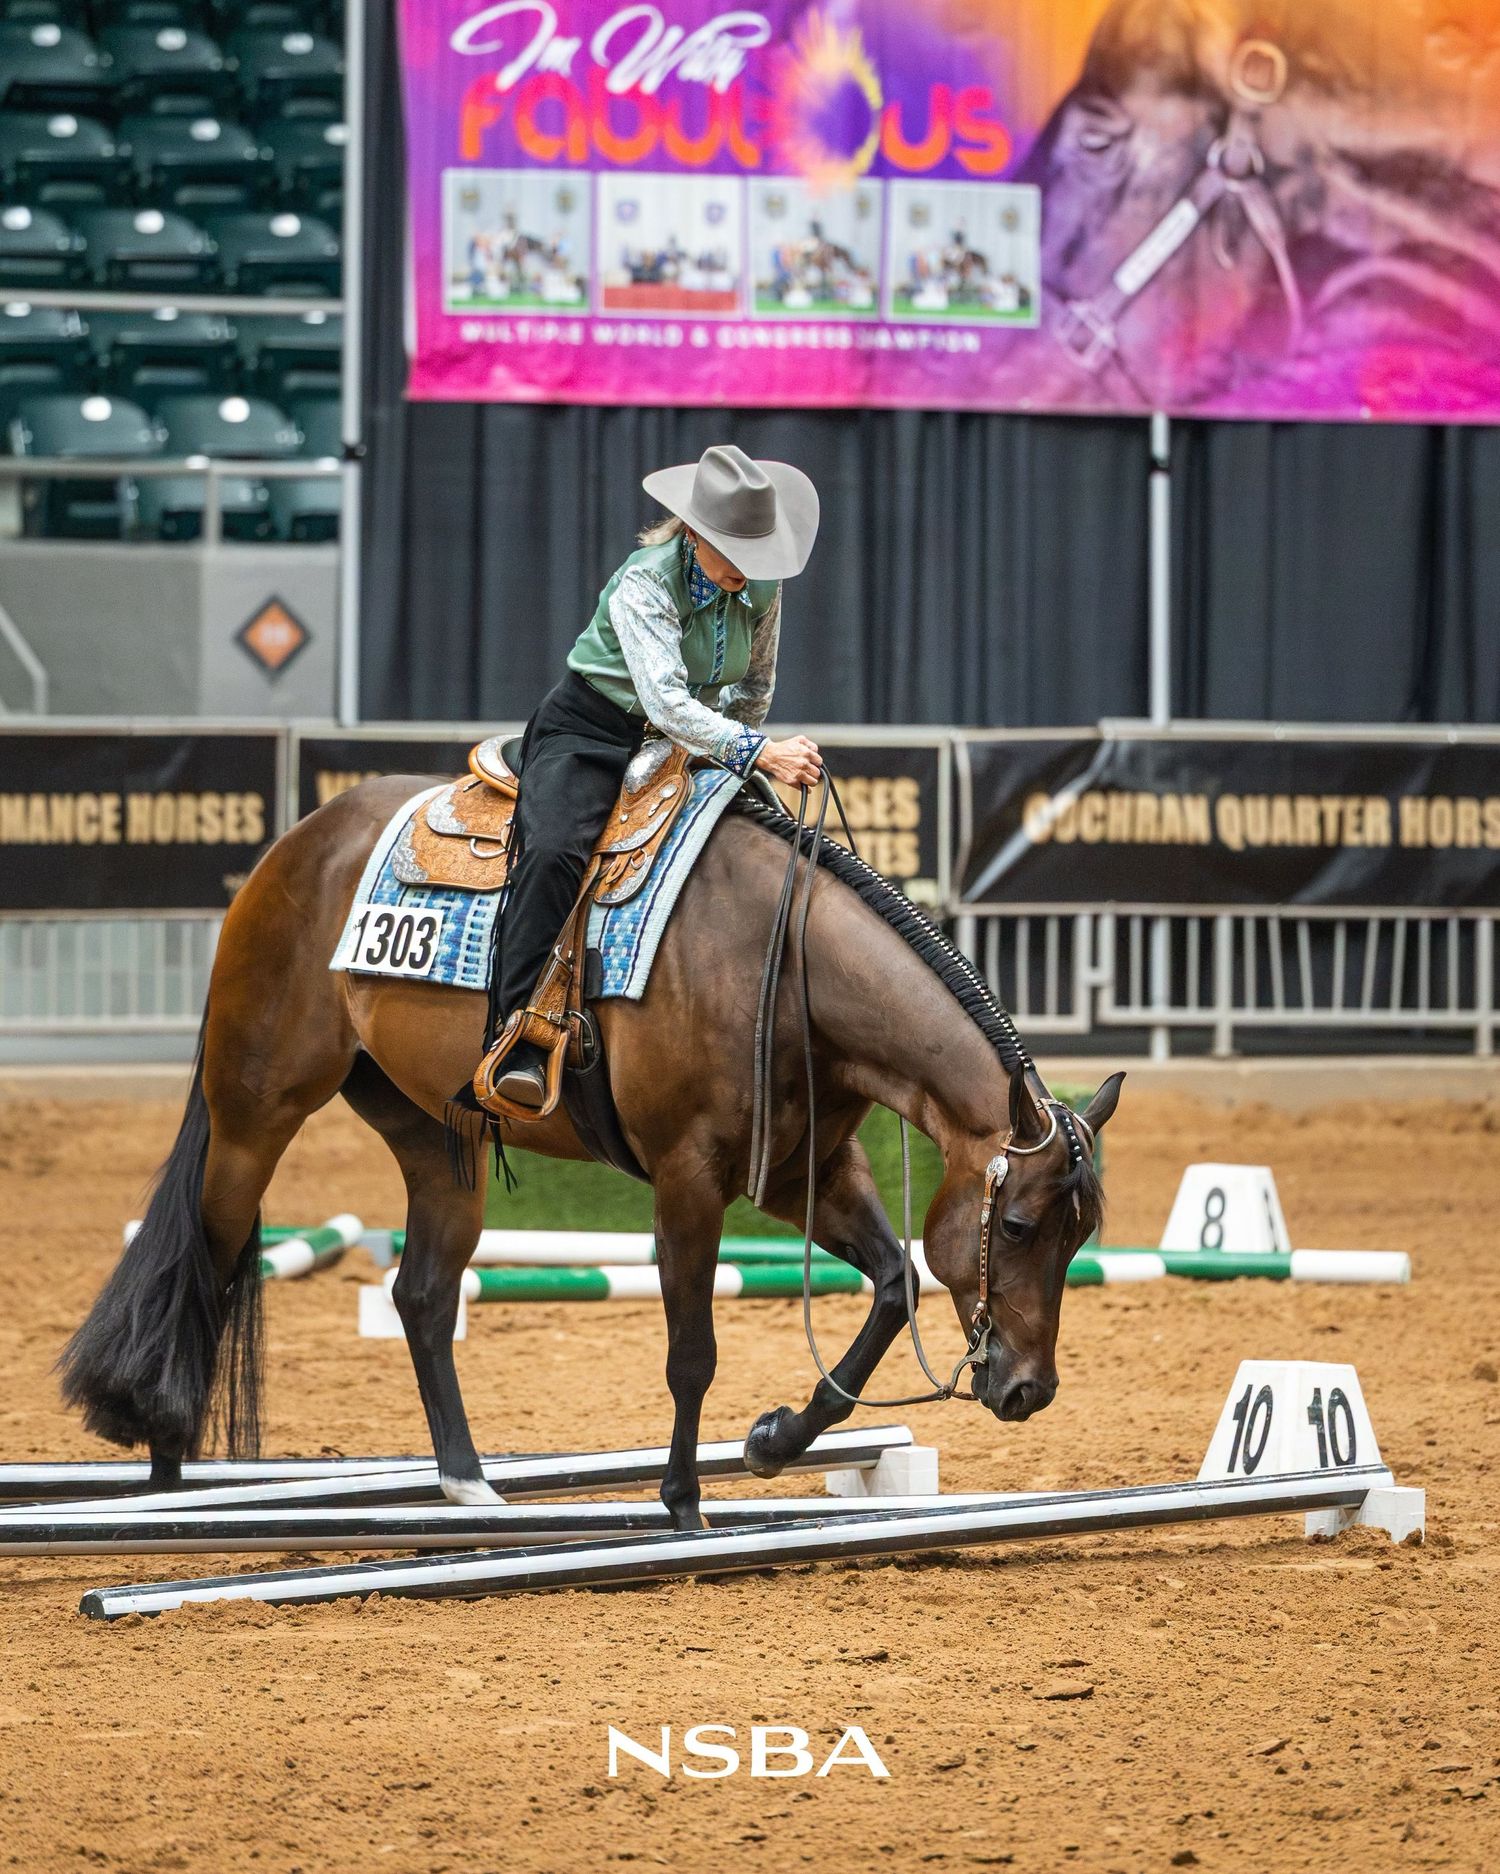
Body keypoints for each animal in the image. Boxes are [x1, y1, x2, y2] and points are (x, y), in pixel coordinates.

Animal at [59, 774, 1124, 1530]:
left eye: (1080, 1238)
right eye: (1017, 1224)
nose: (1029, 1390)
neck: (784, 966)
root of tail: (294, 847)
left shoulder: (805, 1173)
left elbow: (895, 1286)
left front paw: (774, 1441)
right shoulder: (689, 1182)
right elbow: (691, 1351)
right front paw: (683, 1501)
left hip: (436, 1141)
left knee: (421, 1297)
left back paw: (468, 1484)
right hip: (254, 1114)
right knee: (203, 1259)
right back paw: (164, 1461)